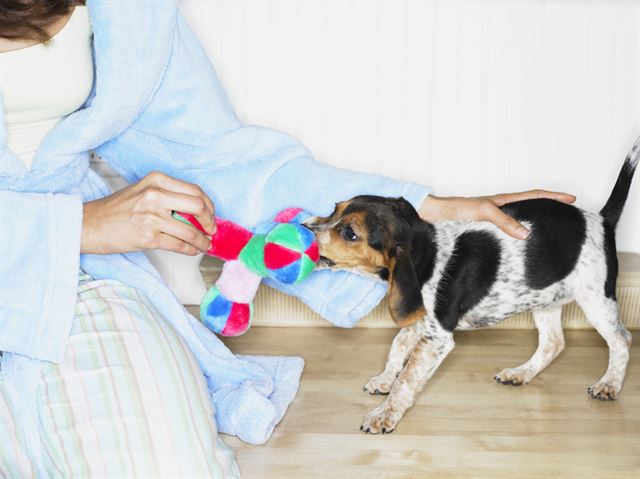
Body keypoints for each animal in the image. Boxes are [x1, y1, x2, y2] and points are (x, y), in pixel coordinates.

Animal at [308, 138, 636, 436]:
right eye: (334, 209)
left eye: (349, 232)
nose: (304, 227)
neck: (427, 253)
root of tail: (601, 219)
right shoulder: (418, 318)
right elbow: (397, 346)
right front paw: (385, 379)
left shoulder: (437, 337)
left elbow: (408, 377)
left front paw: (385, 414)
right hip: (546, 299)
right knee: (554, 343)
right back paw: (521, 374)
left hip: (596, 298)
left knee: (622, 339)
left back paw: (609, 384)